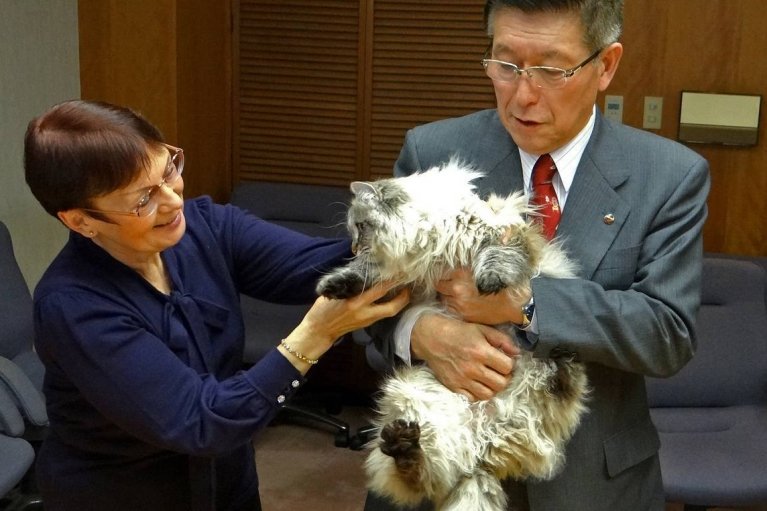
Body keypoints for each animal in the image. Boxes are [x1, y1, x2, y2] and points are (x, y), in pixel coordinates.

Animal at [316, 161, 588, 511]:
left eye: (361, 227)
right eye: (352, 231)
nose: (353, 246)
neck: (431, 245)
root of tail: (482, 450)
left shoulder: (502, 233)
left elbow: (499, 256)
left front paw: (489, 280)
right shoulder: (400, 273)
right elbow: (363, 274)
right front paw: (332, 286)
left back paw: (561, 361)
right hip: (422, 407)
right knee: (421, 473)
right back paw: (402, 443)